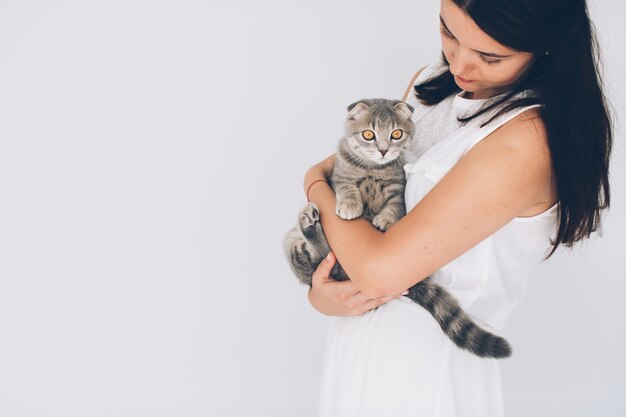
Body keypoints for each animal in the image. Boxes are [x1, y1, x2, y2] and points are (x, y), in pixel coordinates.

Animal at [286, 97, 510, 358]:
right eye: (368, 134)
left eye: (396, 134)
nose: (383, 150)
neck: (374, 168)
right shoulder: (339, 177)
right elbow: (346, 187)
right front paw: (350, 204)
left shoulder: (397, 189)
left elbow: (395, 206)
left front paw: (385, 219)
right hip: (293, 246)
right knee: (316, 261)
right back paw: (309, 222)